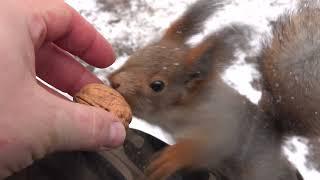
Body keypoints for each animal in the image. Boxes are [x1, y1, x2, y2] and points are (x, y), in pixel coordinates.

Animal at [109, 0, 304, 180]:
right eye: (137, 54)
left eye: (157, 85)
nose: (114, 82)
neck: (187, 107)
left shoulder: (224, 126)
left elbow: (208, 147)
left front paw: (172, 157)